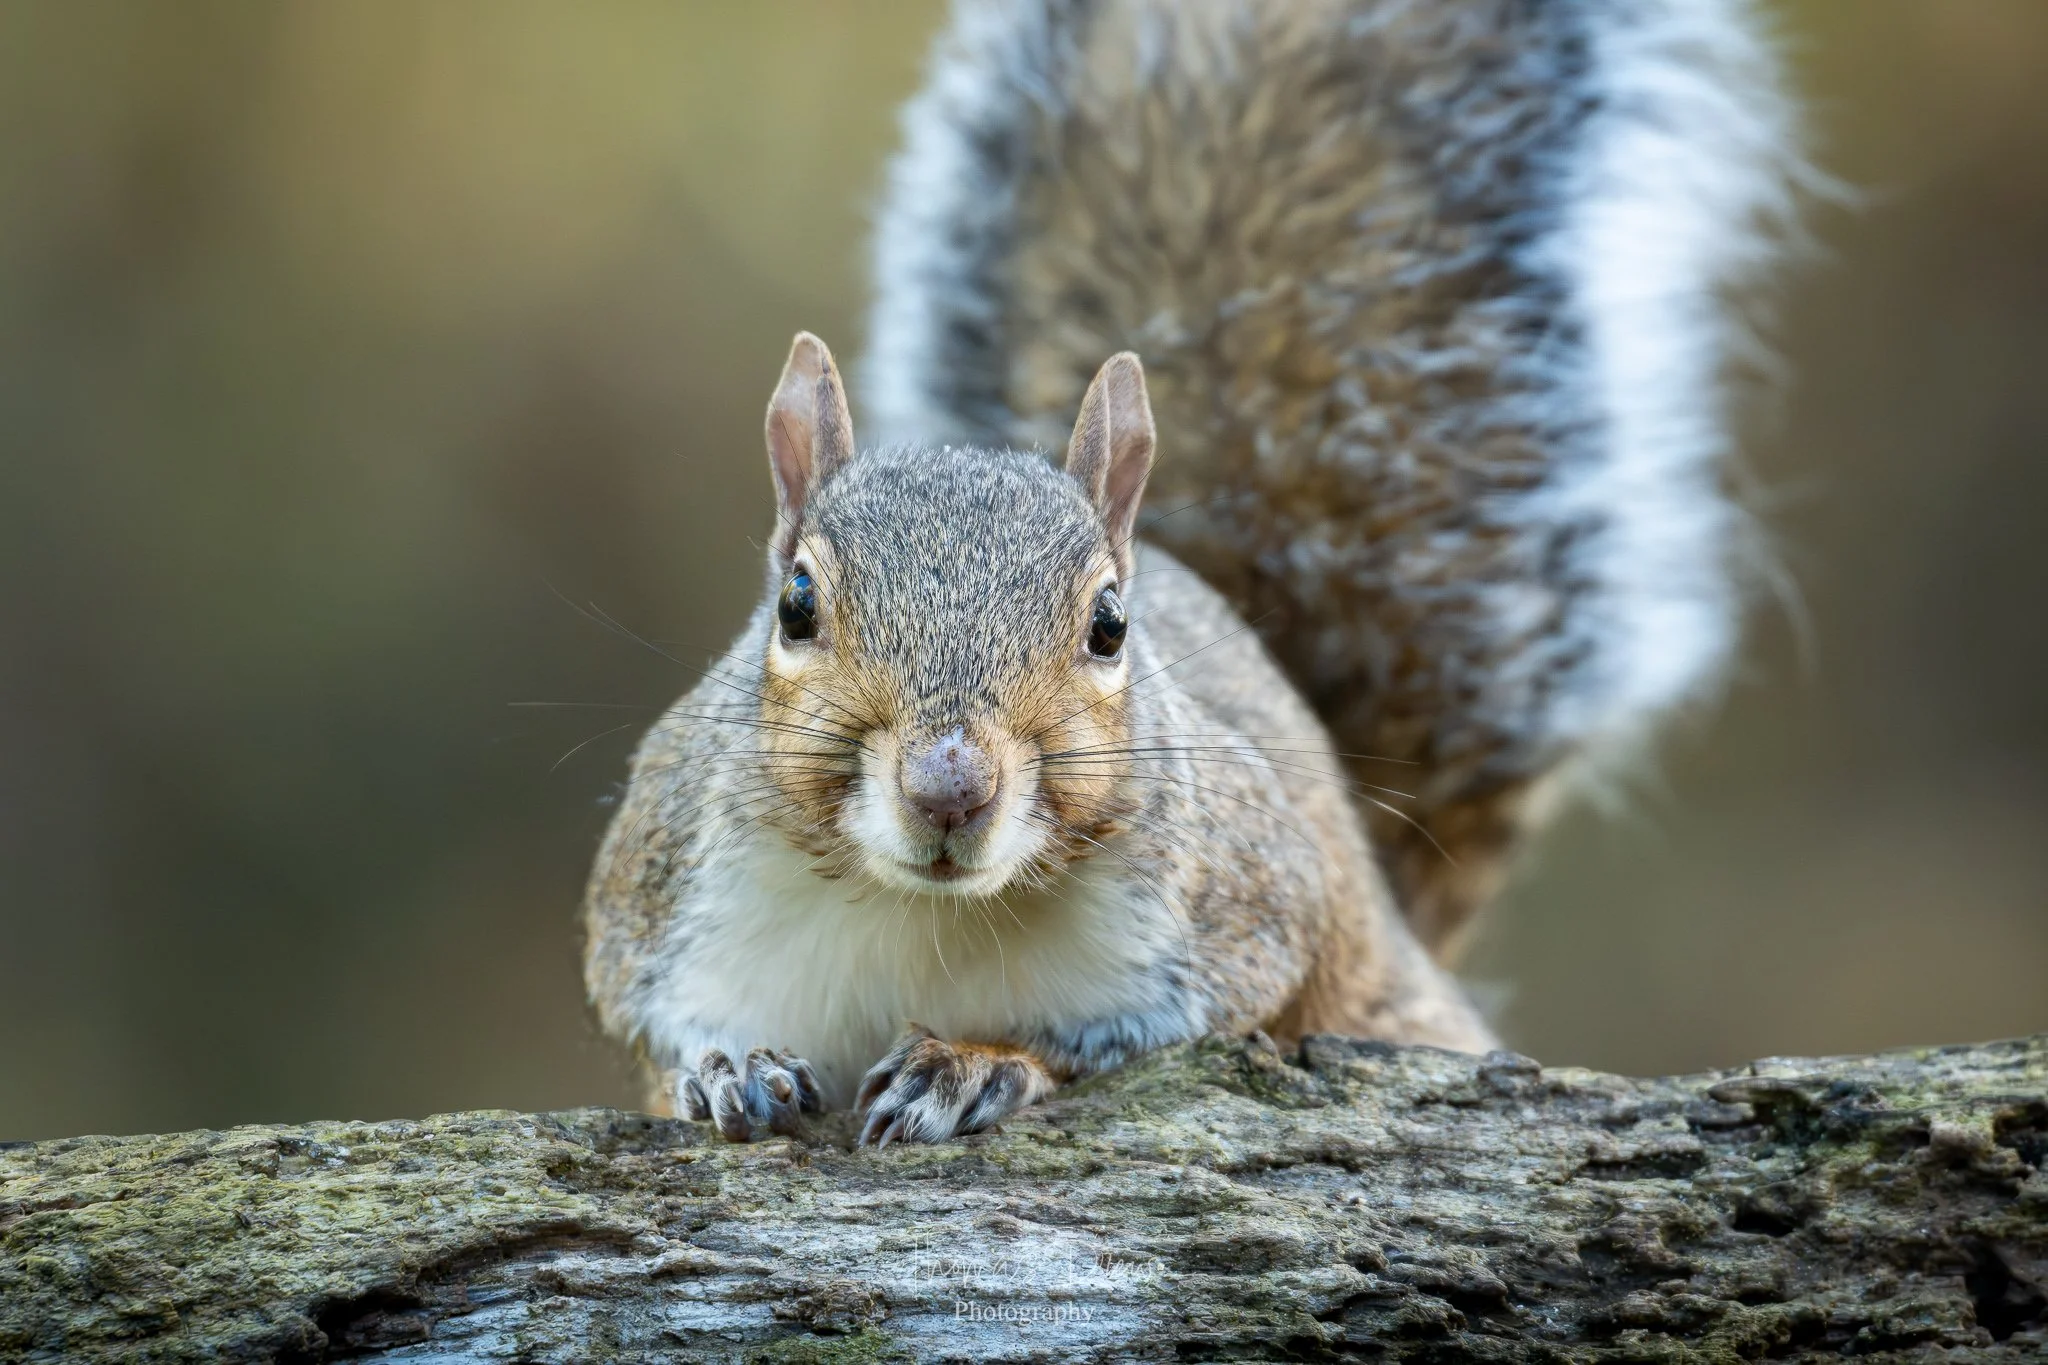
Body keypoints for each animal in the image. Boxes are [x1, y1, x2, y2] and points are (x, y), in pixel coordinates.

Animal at [582, 0, 1795, 1144]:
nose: (947, 789)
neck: (923, 914)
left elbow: (1156, 1033)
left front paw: (972, 1062)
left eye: (1109, 626)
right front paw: (725, 1070)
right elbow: (649, 1025)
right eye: (795, 606)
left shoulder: (1248, 906)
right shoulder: (652, 897)